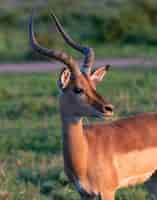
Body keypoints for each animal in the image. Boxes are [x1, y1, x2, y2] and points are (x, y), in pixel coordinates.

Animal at [29, 11, 157, 200]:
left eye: (93, 86)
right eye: (78, 89)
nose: (108, 108)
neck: (85, 150)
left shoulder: (107, 191)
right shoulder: (85, 194)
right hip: (152, 181)